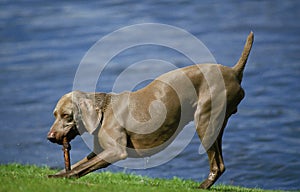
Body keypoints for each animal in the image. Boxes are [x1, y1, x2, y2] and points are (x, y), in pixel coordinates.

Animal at [47, 31, 253, 189]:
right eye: (55, 115)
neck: (104, 112)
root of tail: (233, 72)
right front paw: (55, 174)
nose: (49, 137)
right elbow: (80, 164)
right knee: (220, 163)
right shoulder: (99, 151)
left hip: (205, 119)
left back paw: (201, 187)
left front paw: (62, 177)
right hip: (215, 123)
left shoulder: (116, 151)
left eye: (66, 115)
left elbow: (78, 169)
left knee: (217, 165)